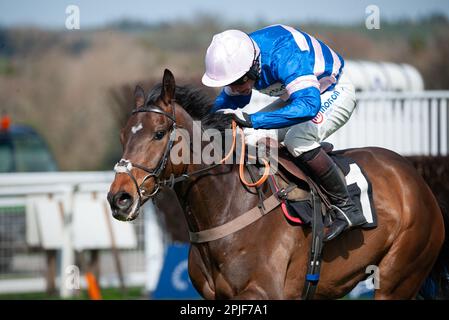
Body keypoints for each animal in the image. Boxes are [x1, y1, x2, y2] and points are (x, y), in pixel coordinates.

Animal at [107, 69, 446, 298]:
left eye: (158, 134)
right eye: (123, 136)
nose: (119, 198)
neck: (230, 207)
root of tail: (416, 180)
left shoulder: (264, 292)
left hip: (398, 277)